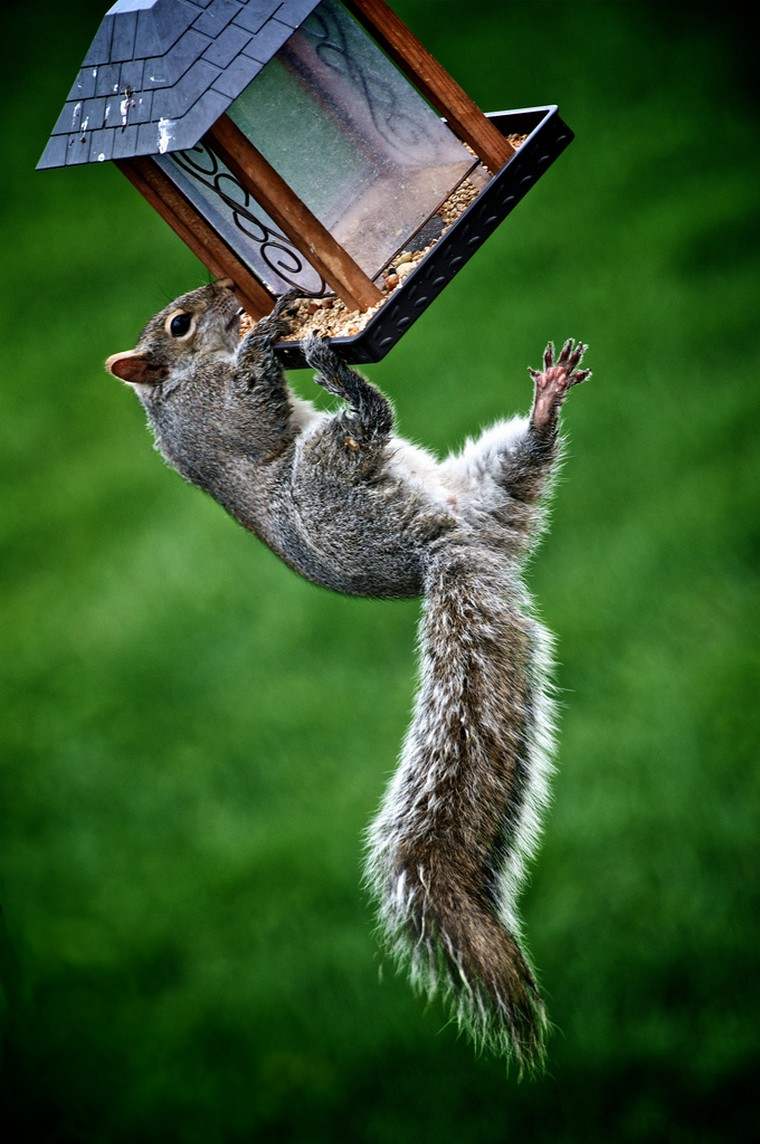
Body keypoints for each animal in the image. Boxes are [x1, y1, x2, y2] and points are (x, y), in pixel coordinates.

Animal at [107, 281, 590, 1066]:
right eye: (180, 324)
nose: (223, 290)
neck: (180, 382)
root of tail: (440, 552)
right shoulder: (221, 410)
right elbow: (254, 398)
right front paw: (271, 328)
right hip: (330, 476)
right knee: (369, 427)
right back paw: (345, 381)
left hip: (478, 492)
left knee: (522, 464)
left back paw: (543, 406)